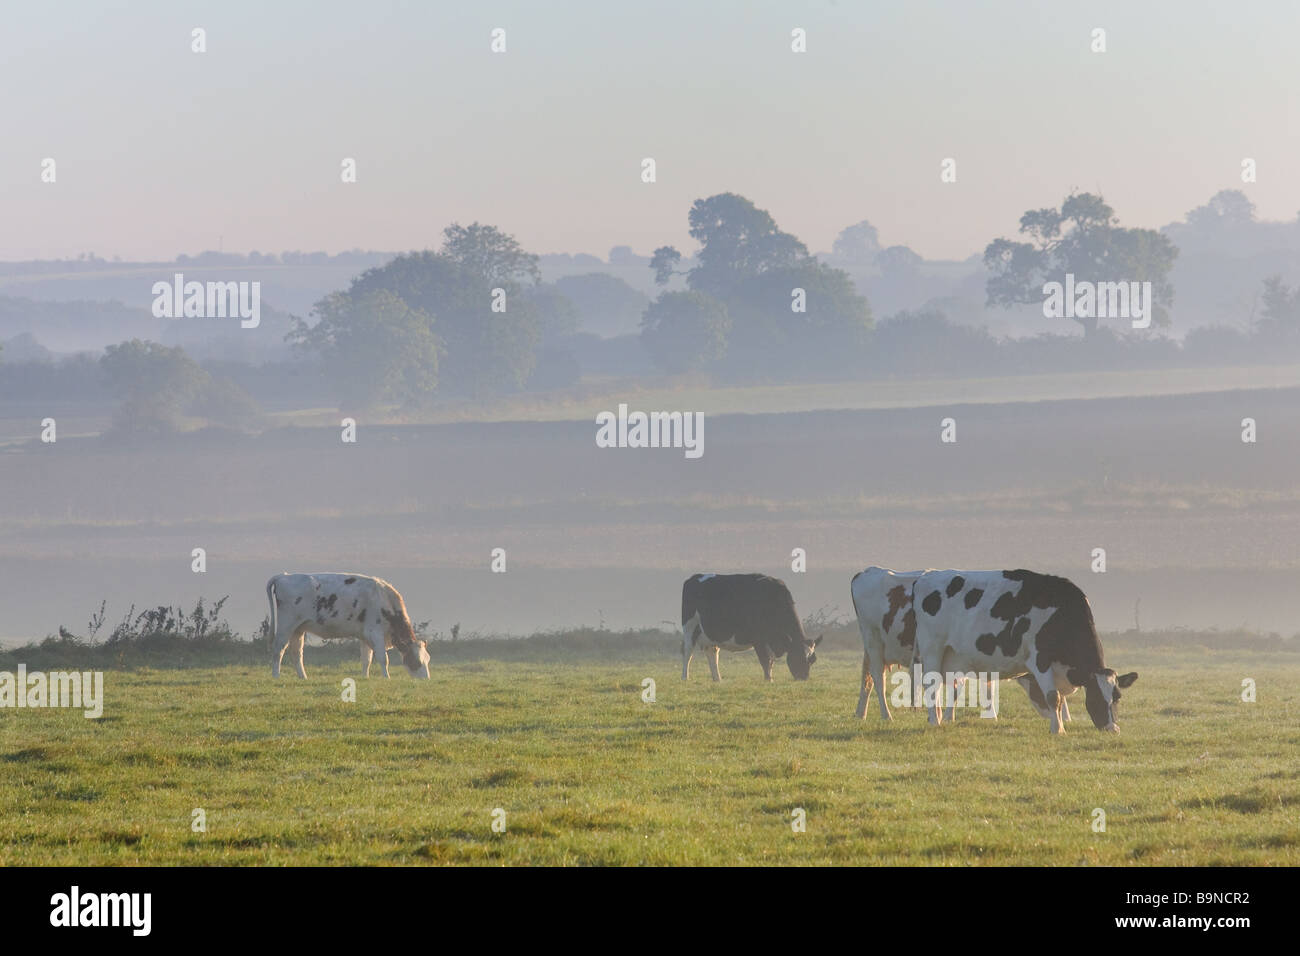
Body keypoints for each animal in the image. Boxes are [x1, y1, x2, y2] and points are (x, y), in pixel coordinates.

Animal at [266, 567, 434, 681]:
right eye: (417, 661)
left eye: (428, 660)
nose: (426, 680)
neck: (384, 600)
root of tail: (284, 576)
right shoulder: (375, 632)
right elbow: (382, 658)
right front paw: (387, 678)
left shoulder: (365, 635)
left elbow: (366, 659)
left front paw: (365, 677)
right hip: (286, 625)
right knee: (278, 650)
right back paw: (276, 676)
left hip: (298, 628)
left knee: (296, 653)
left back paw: (303, 677)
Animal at [681, 572, 821, 686]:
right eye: (797, 656)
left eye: (812, 660)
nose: (803, 678)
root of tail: (694, 577)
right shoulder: (758, 639)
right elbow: (765, 660)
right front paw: (768, 680)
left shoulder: (770, 640)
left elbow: (771, 661)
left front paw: (770, 677)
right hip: (690, 626)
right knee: (688, 651)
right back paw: (685, 677)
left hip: (711, 634)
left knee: (712, 652)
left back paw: (717, 679)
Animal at [909, 572, 1133, 738]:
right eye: (1094, 697)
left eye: (1118, 697)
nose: (1113, 729)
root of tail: (925, 577)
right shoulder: (1040, 658)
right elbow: (1053, 697)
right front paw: (1058, 730)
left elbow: (1058, 699)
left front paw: (1058, 724)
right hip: (933, 648)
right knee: (932, 684)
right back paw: (935, 722)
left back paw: (939, 718)